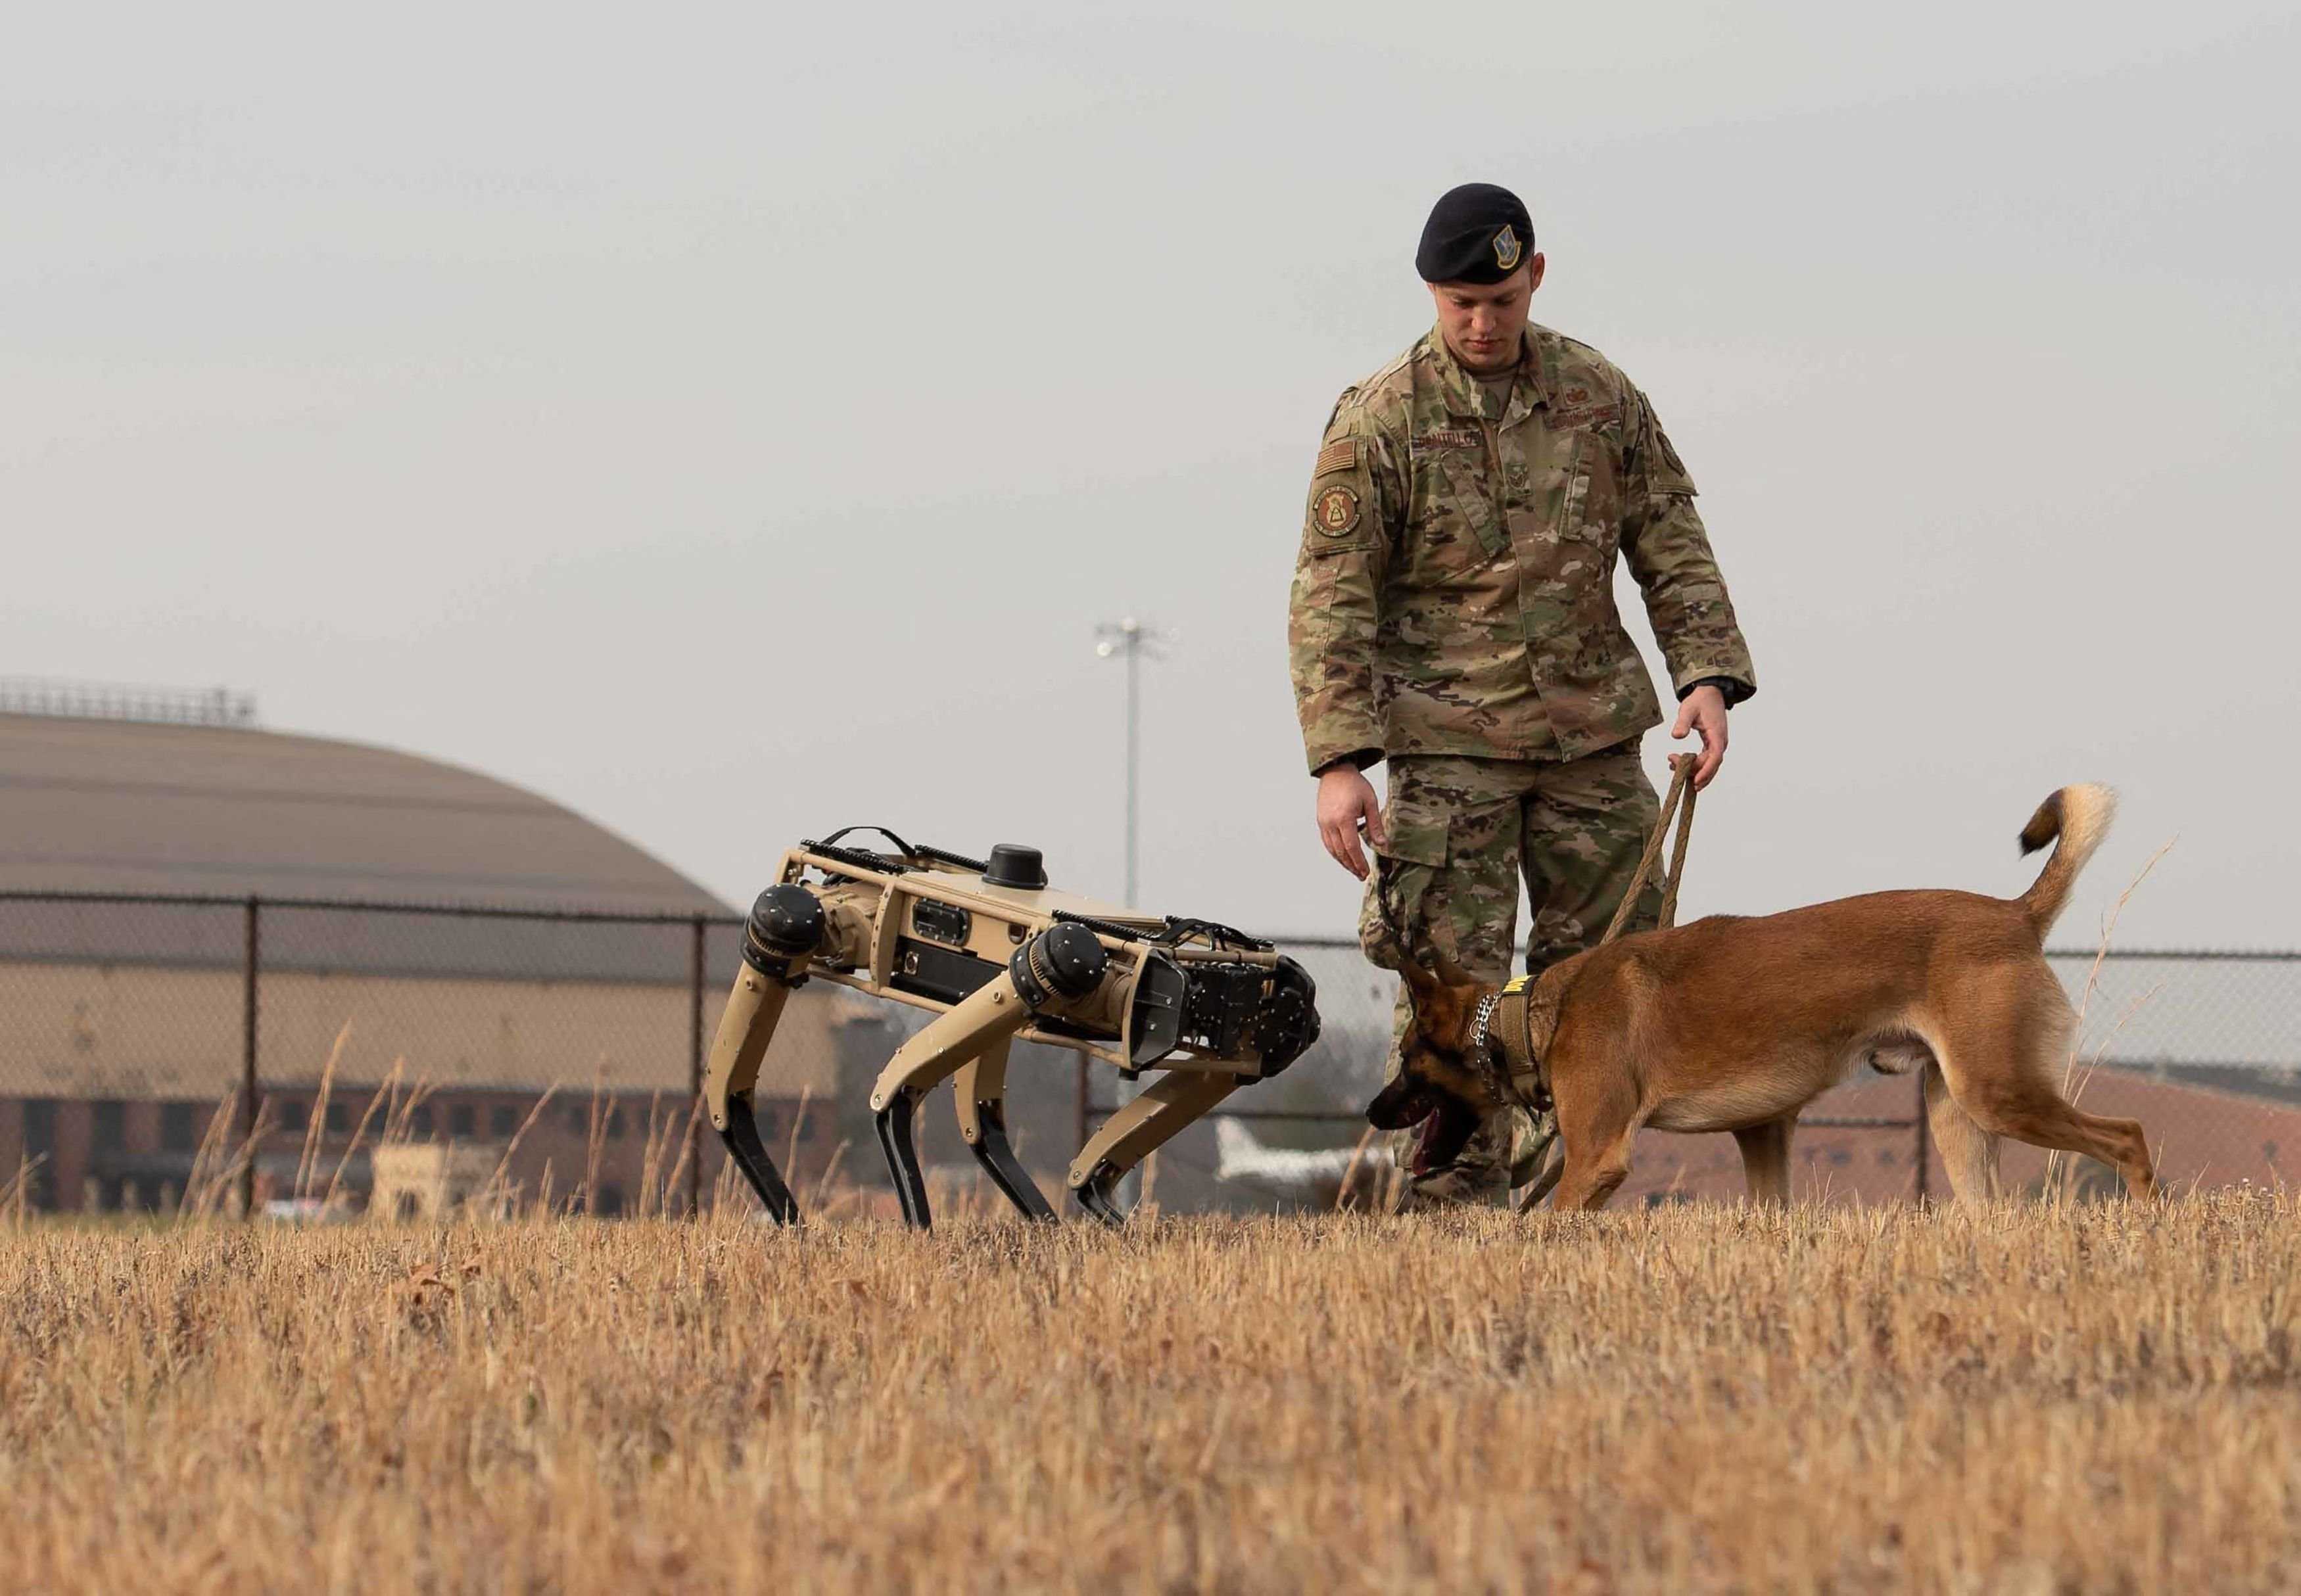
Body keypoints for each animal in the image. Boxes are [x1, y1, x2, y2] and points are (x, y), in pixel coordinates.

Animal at [1362, 786, 2154, 1214]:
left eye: (1405, 1058)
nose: (1370, 1111)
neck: (1532, 1016)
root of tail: (2015, 915)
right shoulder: (1764, 1130)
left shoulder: (1596, 1158)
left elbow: (1546, 1221)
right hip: (1957, 1113)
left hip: (2001, 1092)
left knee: (2128, 1138)